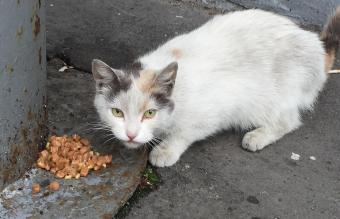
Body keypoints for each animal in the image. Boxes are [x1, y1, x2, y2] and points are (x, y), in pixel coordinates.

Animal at [91, 8, 340, 166]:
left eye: (150, 113)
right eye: (117, 112)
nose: (131, 134)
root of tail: (317, 45)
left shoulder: (217, 109)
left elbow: (185, 132)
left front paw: (165, 150)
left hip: (273, 98)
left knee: (288, 121)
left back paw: (257, 136)